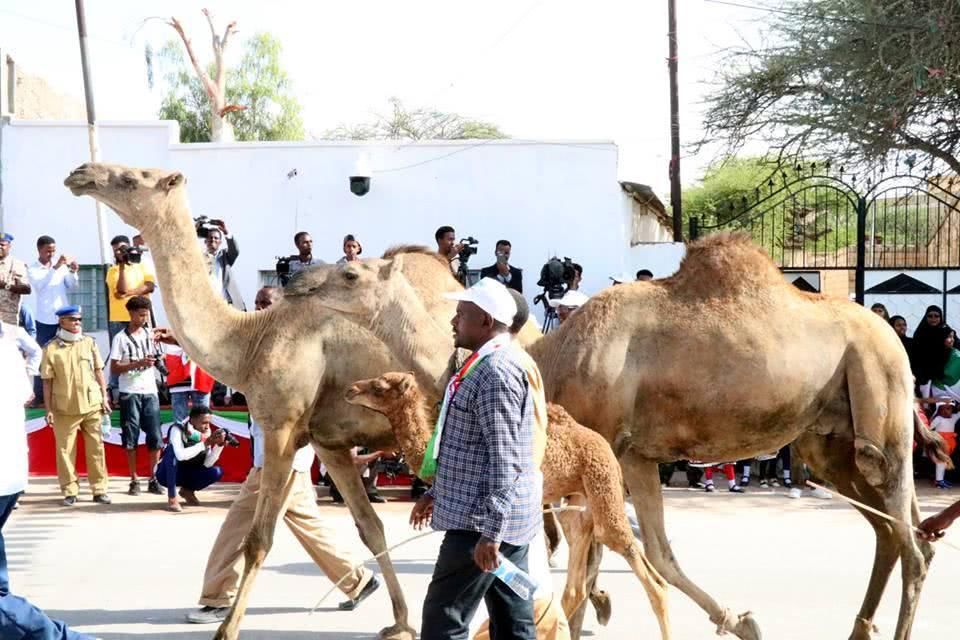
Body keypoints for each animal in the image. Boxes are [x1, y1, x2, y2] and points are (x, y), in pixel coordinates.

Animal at [344, 372, 668, 636]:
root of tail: (602, 444)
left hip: (604, 483)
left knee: (650, 578)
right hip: (579, 499)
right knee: (577, 575)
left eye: (379, 386)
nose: (351, 389)